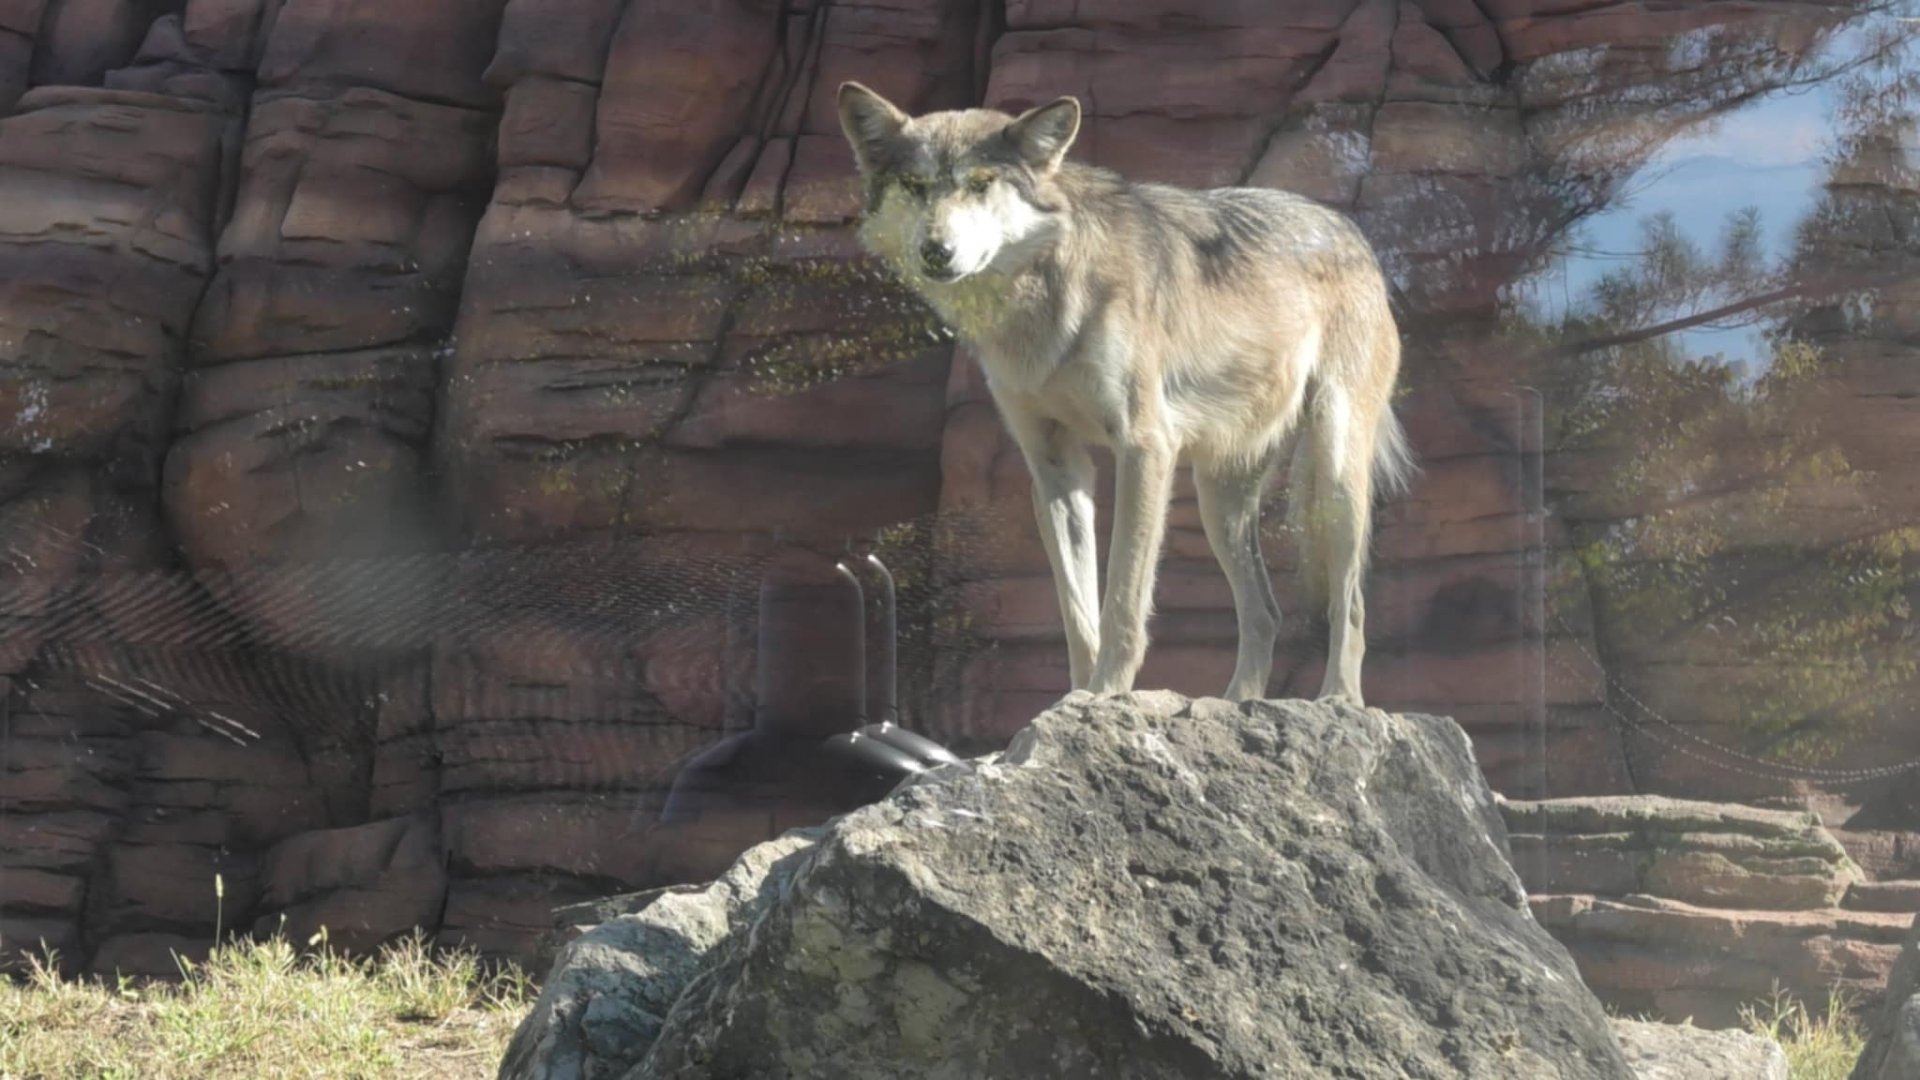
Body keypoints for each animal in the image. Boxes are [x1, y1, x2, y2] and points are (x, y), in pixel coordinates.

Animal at [836, 83, 1413, 706]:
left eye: (981, 184)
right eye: (915, 186)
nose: (936, 250)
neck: (1038, 303)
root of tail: (1351, 232)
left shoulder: (1145, 445)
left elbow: (1123, 598)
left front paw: (1110, 692)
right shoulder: (1054, 466)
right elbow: (1077, 611)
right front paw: (1079, 701)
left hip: (1334, 469)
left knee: (1350, 606)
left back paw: (1338, 700)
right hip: (1219, 499)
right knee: (1266, 613)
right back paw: (1237, 704)